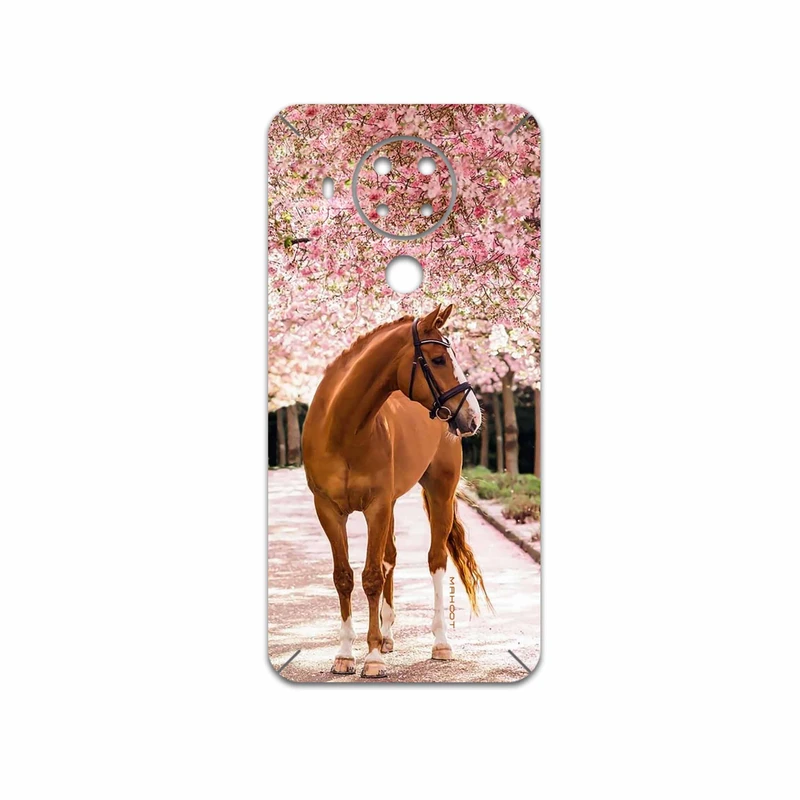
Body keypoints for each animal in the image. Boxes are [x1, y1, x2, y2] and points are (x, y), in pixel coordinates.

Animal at [301, 303, 491, 678]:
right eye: (437, 359)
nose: (473, 417)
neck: (343, 429)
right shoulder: (328, 510)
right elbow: (344, 577)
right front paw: (345, 654)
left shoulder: (376, 506)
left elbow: (372, 576)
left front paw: (372, 658)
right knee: (390, 557)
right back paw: (387, 636)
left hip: (439, 493)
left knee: (435, 560)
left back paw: (440, 643)